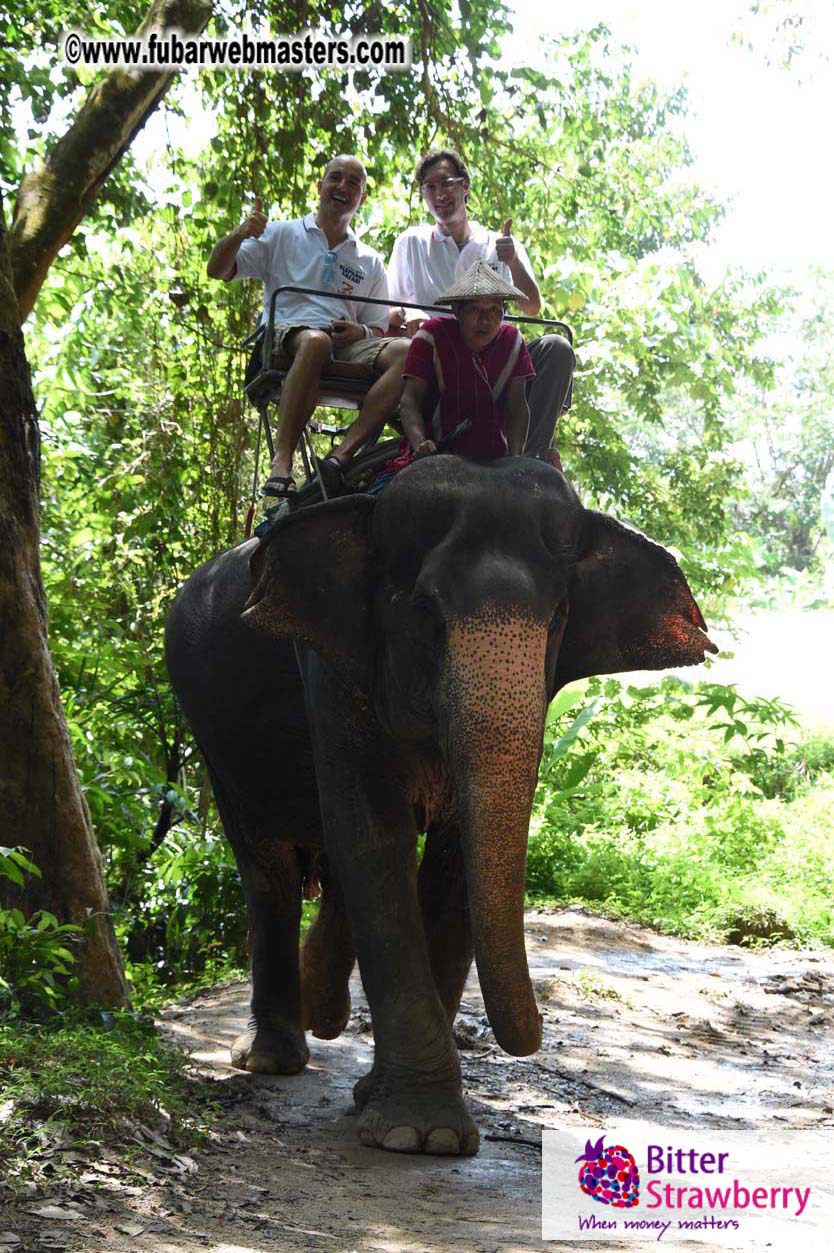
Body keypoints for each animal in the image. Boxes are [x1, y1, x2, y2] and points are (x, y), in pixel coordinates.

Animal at [165, 455, 716, 1156]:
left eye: (560, 615)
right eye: (425, 612)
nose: (529, 1040)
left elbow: (451, 861)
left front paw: (389, 1108)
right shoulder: (331, 666)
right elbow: (375, 840)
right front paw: (418, 1135)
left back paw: (324, 1019)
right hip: (211, 731)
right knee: (270, 871)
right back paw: (270, 1058)